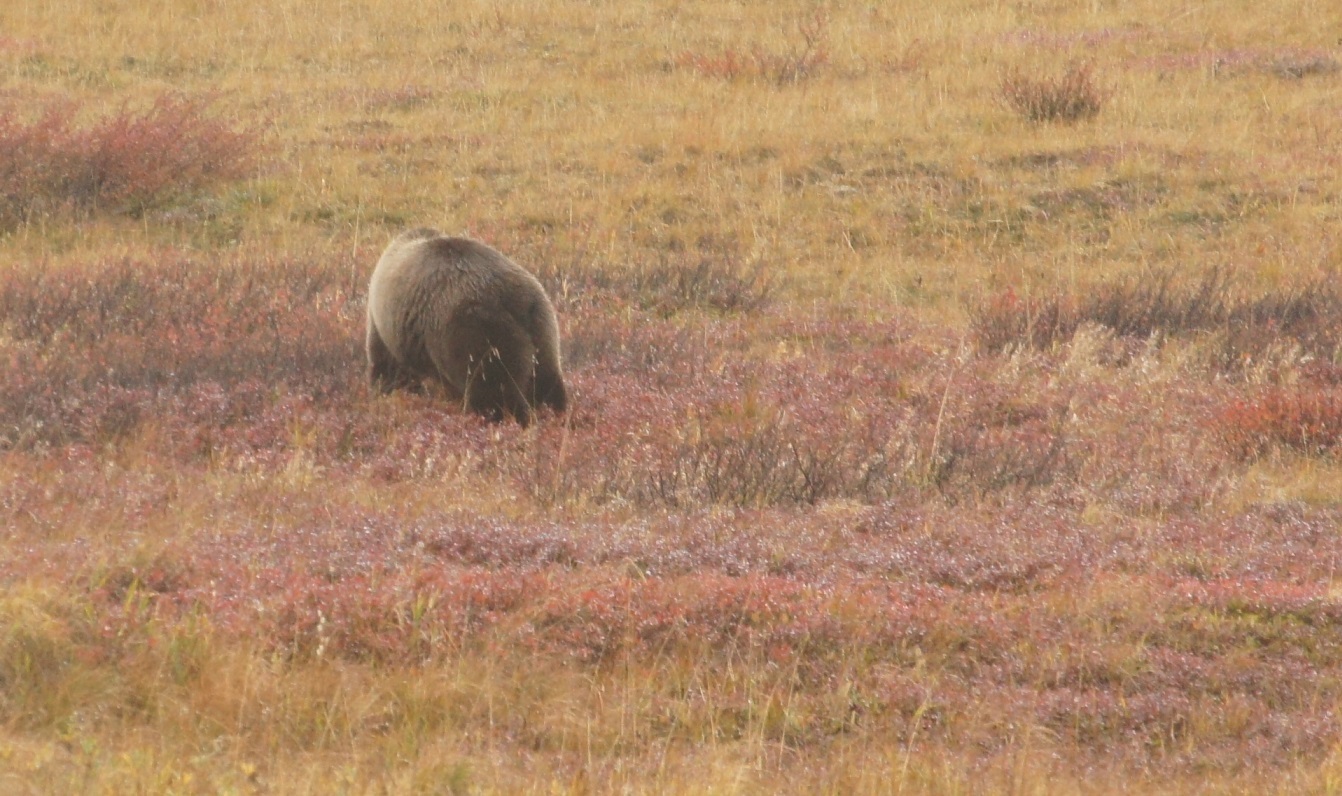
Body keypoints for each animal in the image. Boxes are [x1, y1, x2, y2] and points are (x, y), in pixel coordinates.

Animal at [367, 226, 571, 424]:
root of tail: (517, 301)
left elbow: (388, 364)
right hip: (542, 328)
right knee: (546, 381)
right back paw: (556, 415)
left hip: (477, 333)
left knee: (491, 390)